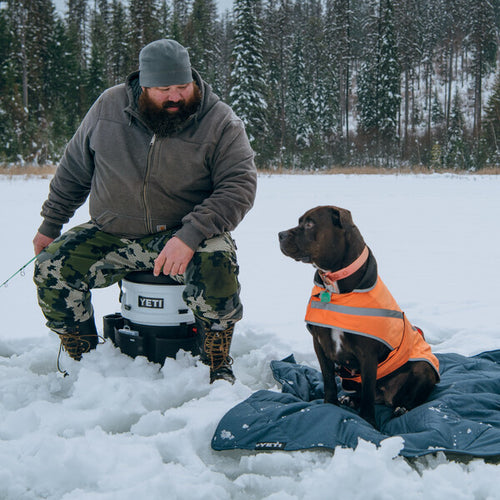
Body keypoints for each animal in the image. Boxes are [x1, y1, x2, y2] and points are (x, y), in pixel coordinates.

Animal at [280, 205, 440, 428]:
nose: (280, 234)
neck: (335, 286)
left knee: (408, 397)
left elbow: (368, 395)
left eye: (310, 223)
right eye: (300, 221)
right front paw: (329, 406)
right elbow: (328, 380)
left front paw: (368, 422)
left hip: (422, 367)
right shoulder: (320, 343)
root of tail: (387, 396)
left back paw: (401, 408)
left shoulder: (367, 355)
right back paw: (349, 399)